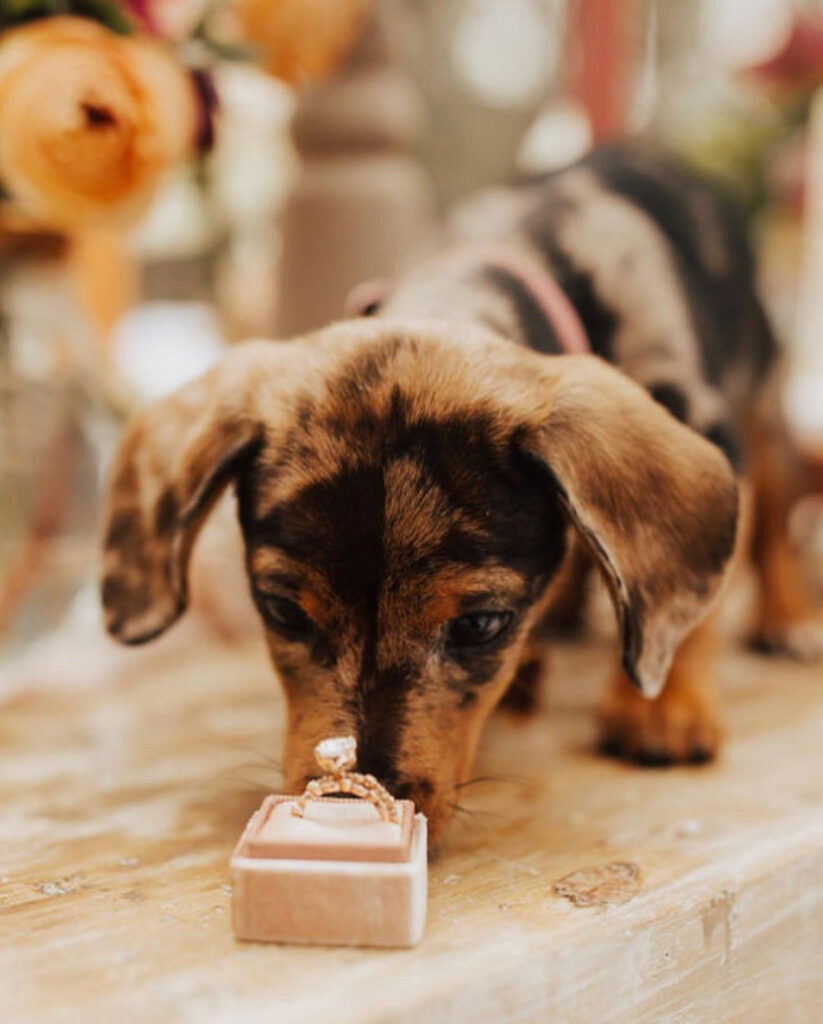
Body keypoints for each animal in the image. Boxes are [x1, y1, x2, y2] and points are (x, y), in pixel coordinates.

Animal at [99, 146, 818, 847]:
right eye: (281, 612)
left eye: (479, 624)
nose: (353, 799)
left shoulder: (704, 420)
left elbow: (684, 606)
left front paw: (660, 707)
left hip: (762, 397)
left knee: (771, 518)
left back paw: (785, 618)